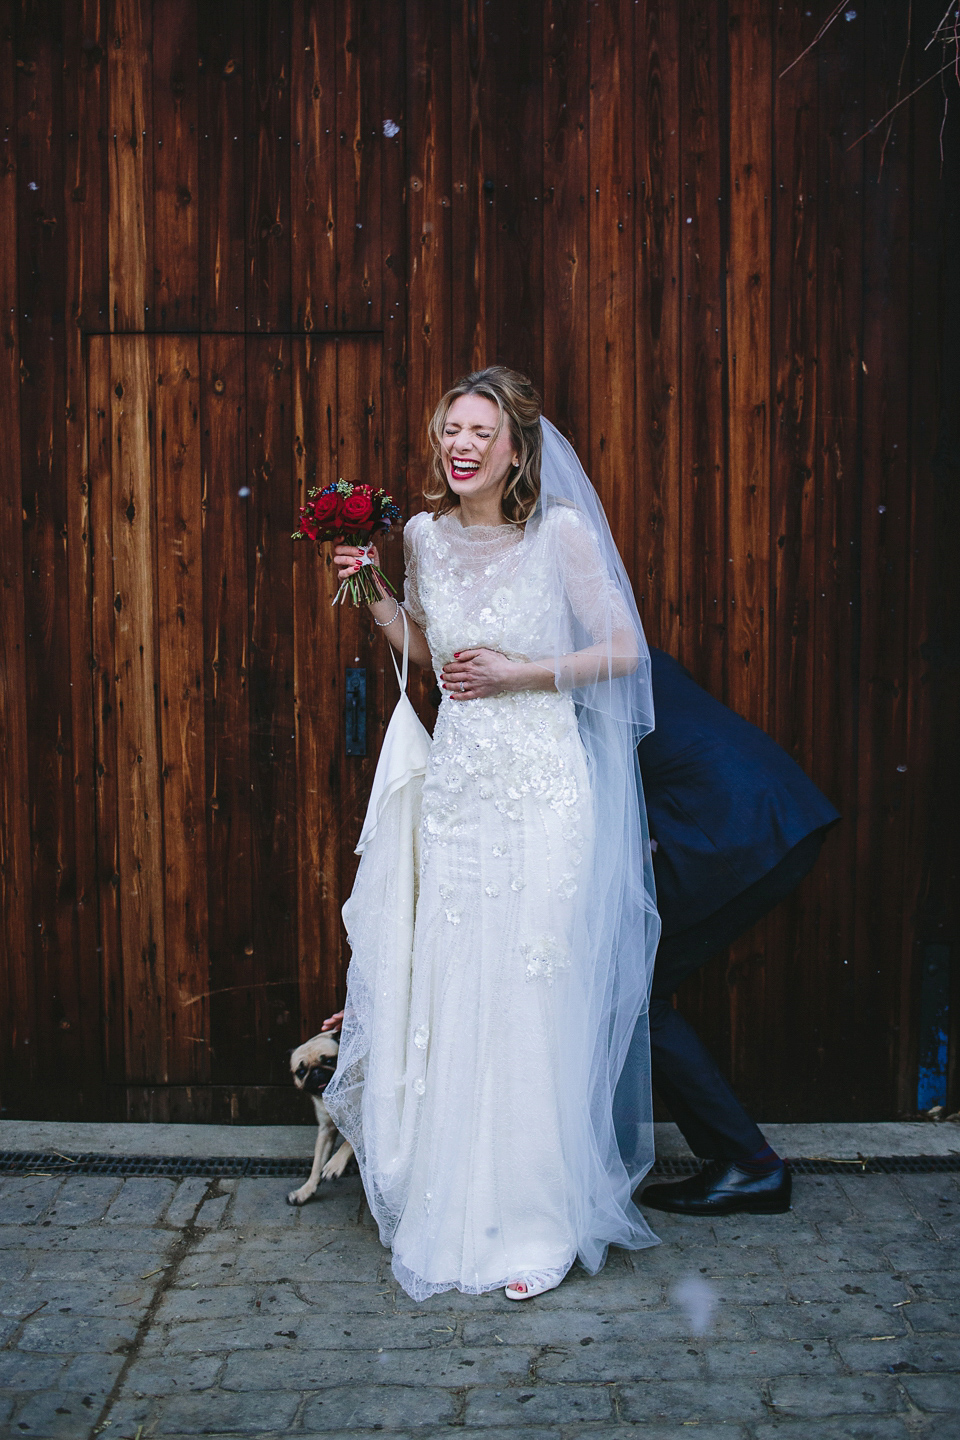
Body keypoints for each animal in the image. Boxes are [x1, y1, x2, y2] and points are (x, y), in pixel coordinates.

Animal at [289, 1025, 356, 1203]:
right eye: (301, 1071)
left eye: (329, 1061)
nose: (316, 1072)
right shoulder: (326, 1129)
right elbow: (317, 1164)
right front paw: (306, 1190)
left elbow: (348, 1142)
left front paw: (334, 1164)